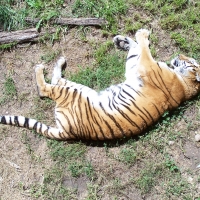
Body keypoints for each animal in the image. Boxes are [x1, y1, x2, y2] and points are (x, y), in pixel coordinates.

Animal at [0, 28, 200, 140]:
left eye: (190, 61)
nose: (179, 55)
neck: (184, 82)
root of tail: (67, 132)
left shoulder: (147, 66)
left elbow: (143, 48)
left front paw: (141, 33)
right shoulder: (136, 67)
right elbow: (136, 51)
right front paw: (122, 40)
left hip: (71, 93)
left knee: (43, 89)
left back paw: (40, 68)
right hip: (79, 88)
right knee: (57, 79)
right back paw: (60, 61)